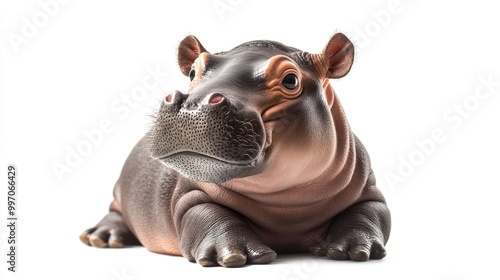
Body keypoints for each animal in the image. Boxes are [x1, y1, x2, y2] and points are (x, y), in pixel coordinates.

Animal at [80, 32, 390, 266]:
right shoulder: (191, 194)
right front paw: (234, 254)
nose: (191, 104)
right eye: (192, 71)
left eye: (290, 79)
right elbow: (209, 214)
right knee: (115, 212)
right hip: (120, 193)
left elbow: (368, 213)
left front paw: (349, 250)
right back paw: (101, 237)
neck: (287, 201)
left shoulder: (369, 190)